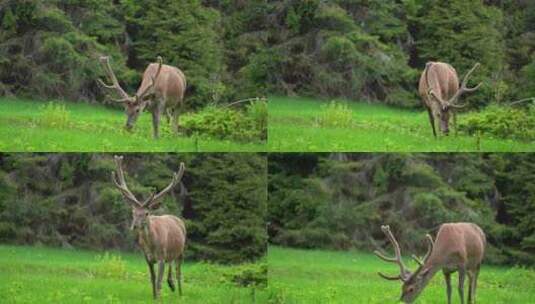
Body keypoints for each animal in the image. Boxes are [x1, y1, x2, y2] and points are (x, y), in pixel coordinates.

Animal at [112, 156, 187, 298]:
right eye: (133, 212)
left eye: (146, 213)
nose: (135, 226)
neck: (151, 245)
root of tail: (178, 219)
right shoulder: (148, 258)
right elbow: (152, 279)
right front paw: (154, 297)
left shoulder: (161, 256)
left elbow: (158, 282)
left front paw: (159, 297)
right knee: (171, 264)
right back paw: (171, 284)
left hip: (181, 250)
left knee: (178, 272)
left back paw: (180, 293)